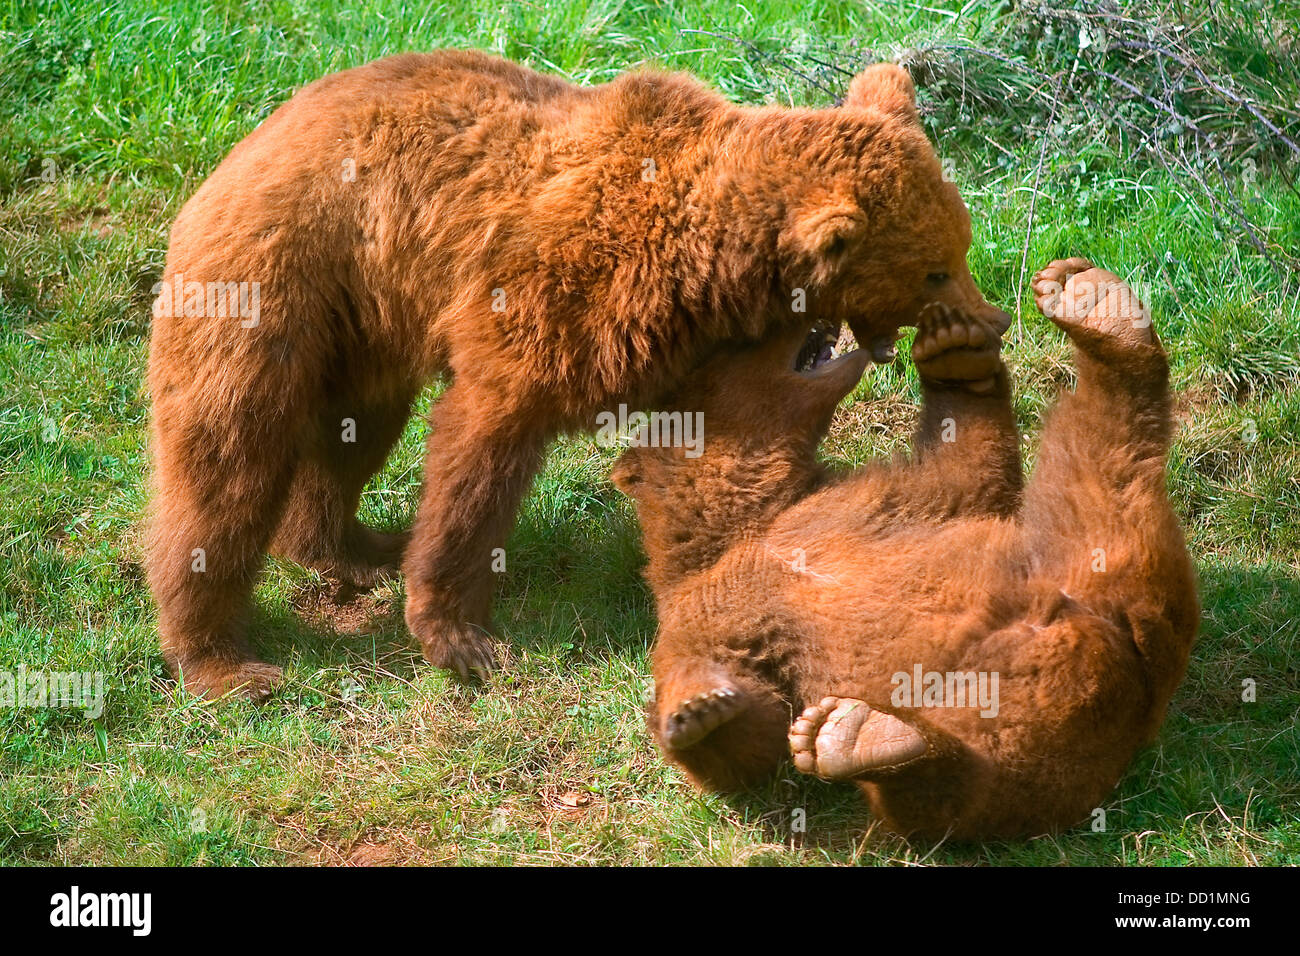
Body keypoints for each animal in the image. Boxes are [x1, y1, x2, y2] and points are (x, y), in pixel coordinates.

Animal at [147, 50, 1008, 697]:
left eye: (961, 244)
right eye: (936, 268)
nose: (992, 316)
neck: (712, 265)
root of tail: (242, 144)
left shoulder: (692, 345)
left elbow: (721, 454)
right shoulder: (567, 295)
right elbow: (482, 447)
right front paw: (463, 637)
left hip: (364, 323)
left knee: (351, 434)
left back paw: (352, 548)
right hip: (276, 277)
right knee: (228, 461)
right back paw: (223, 660)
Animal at [613, 260, 1201, 837]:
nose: (805, 305)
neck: (751, 519)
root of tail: (1143, 693)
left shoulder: (874, 504)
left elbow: (967, 471)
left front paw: (953, 349)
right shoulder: (704, 609)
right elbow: (749, 725)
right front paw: (697, 712)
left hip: (1078, 558)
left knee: (1107, 455)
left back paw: (1096, 305)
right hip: (1012, 703)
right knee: (976, 787)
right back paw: (864, 738)